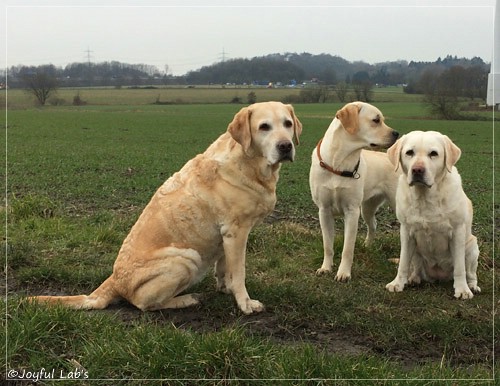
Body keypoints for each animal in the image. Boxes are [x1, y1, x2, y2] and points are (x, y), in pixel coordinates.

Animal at [34, 102, 304, 314]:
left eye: (288, 124)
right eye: (264, 127)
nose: (285, 146)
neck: (250, 164)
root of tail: (113, 281)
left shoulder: (225, 237)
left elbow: (224, 268)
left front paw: (225, 289)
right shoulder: (236, 232)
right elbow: (239, 273)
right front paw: (246, 304)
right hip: (187, 258)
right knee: (144, 304)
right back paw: (187, 299)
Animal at [310, 102, 400, 280]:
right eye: (376, 120)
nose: (396, 133)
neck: (338, 162)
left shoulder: (351, 211)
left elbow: (348, 248)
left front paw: (343, 273)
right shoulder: (324, 210)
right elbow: (328, 245)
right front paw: (325, 268)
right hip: (367, 208)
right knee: (373, 225)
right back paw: (367, 246)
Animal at [386, 130, 480, 298]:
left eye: (433, 154)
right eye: (409, 152)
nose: (417, 170)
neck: (425, 197)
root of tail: (438, 276)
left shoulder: (458, 232)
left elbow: (460, 267)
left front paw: (462, 290)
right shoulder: (406, 232)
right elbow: (403, 263)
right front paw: (397, 283)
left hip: (472, 247)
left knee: (470, 272)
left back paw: (472, 286)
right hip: (416, 251)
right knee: (415, 267)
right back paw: (413, 279)